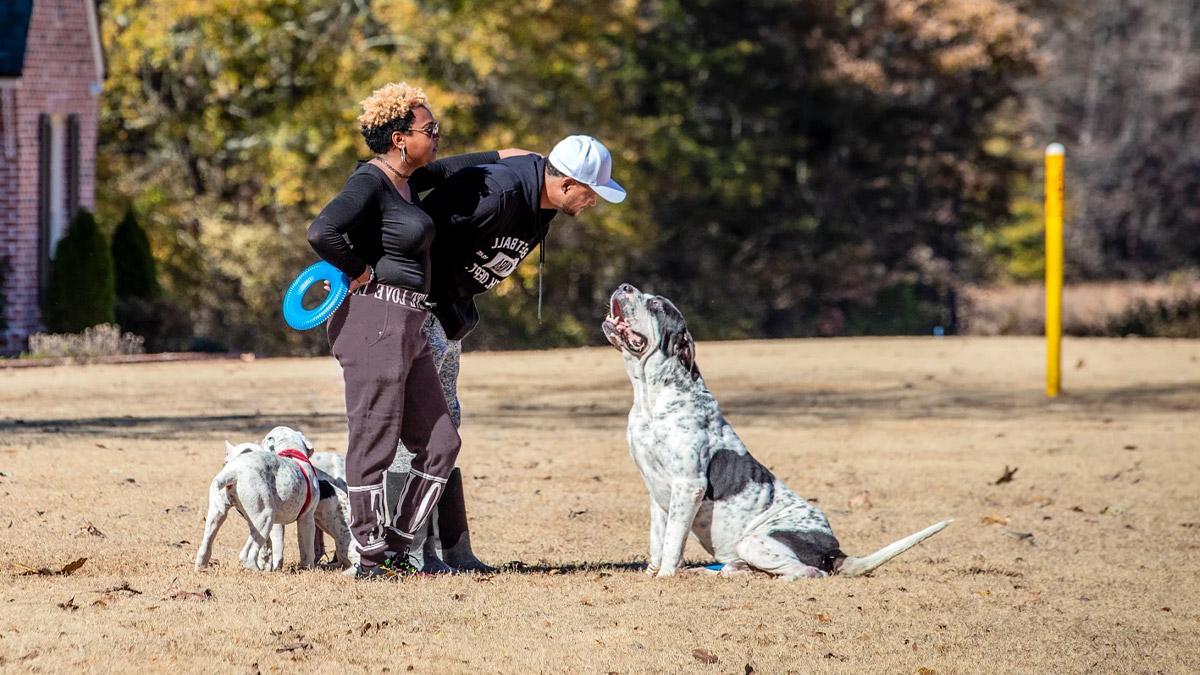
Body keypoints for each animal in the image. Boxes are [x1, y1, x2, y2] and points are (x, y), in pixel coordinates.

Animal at [604, 283, 950, 578]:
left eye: (657, 305)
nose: (624, 286)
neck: (650, 396)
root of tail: (836, 551)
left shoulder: (689, 486)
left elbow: (672, 543)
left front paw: (665, 577)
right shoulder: (658, 492)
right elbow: (658, 541)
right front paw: (653, 573)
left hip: (753, 540)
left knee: (808, 572)